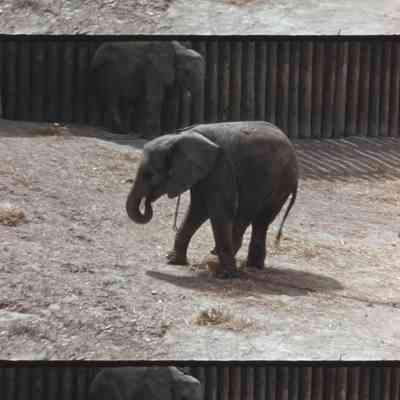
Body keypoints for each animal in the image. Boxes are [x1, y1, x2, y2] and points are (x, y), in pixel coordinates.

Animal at [126, 121, 299, 279]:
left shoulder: (221, 166)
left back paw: (226, 262)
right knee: (257, 221)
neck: (179, 137)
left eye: (149, 175)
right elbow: (198, 209)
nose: (147, 202)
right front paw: (173, 261)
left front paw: (225, 275)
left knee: (253, 217)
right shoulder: (201, 172)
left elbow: (219, 210)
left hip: (280, 184)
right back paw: (251, 266)